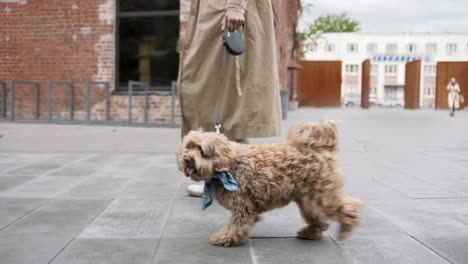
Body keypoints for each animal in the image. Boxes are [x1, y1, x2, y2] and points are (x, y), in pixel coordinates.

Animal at [177, 120, 364, 246]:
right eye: (188, 147)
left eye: (201, 151)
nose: (186, 159)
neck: (228, 165)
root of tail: (321, 147)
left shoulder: (242, 206)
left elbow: (236, 224)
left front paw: (223, 237)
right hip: (308, 199)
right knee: (320, 219)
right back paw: (310, 232)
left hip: (323, 195)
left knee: (351, 206)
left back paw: (346, 227)